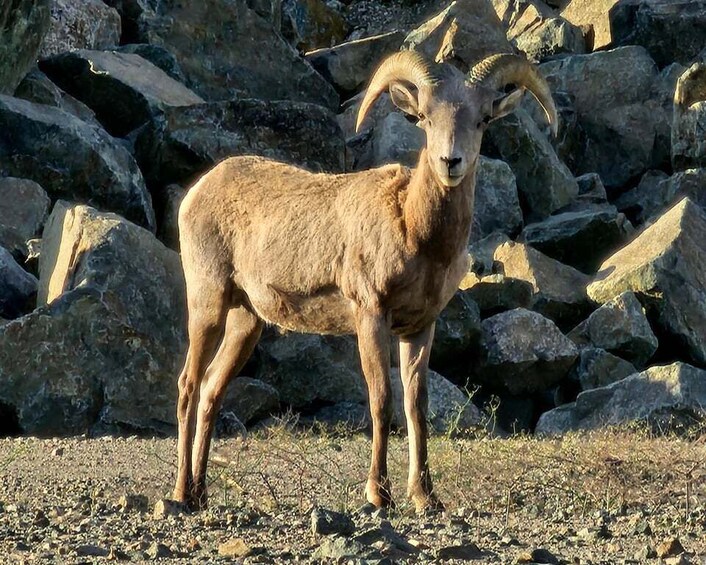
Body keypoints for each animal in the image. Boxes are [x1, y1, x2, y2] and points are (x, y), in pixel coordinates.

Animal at [173, 50, 557, 512]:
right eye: (425, 117)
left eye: (482, 120)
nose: (450, 162)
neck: (414, 229)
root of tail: (199, 191)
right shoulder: (371, 316)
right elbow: (381, 401)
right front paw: (379, 495)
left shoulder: (420, 327)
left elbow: (416, 407)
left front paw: (426, 498)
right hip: (208, 303)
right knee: (189, 386)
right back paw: (180, 494)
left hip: (246, 321)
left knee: (212, 389)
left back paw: (201, 493)